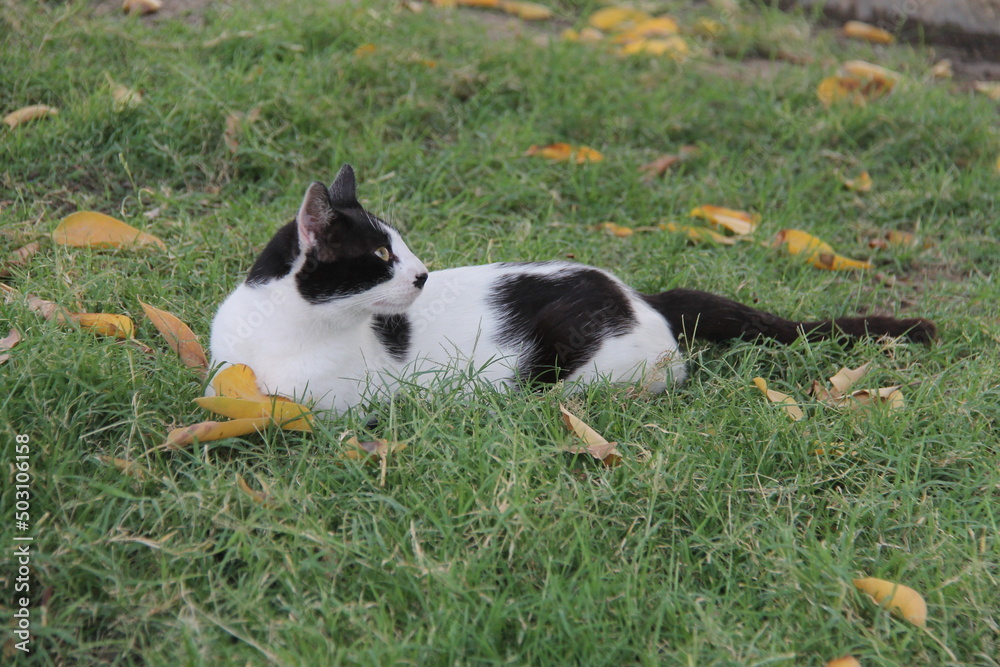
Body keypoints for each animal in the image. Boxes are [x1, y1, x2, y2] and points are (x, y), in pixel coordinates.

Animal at [211, 166, 936, 412]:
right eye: (384, 255)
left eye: (405, 251)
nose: (422, 273)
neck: (278, 331)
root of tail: (644, 298)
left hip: (581, 367)